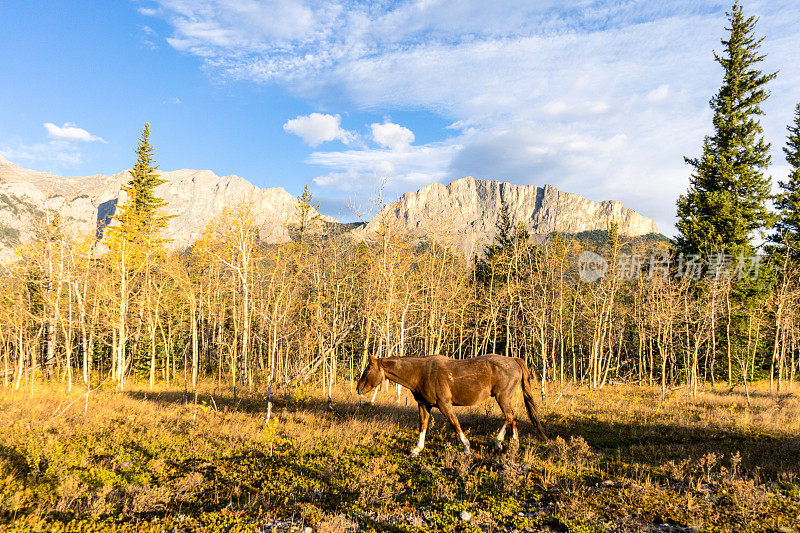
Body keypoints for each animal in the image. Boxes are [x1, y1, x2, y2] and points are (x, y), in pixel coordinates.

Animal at [358, 352, 552, 456]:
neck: (420, 373)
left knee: (510, 416)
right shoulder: (424, 405)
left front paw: (467, 448)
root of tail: (514, 360)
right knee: (510, 417)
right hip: (504, 397)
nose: (358, 388)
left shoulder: (445, 404)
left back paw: (507, 444)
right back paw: (506, 443)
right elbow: (423, 425)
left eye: (367, 370)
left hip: (502, 397)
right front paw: (417, 449)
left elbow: (455, 424)